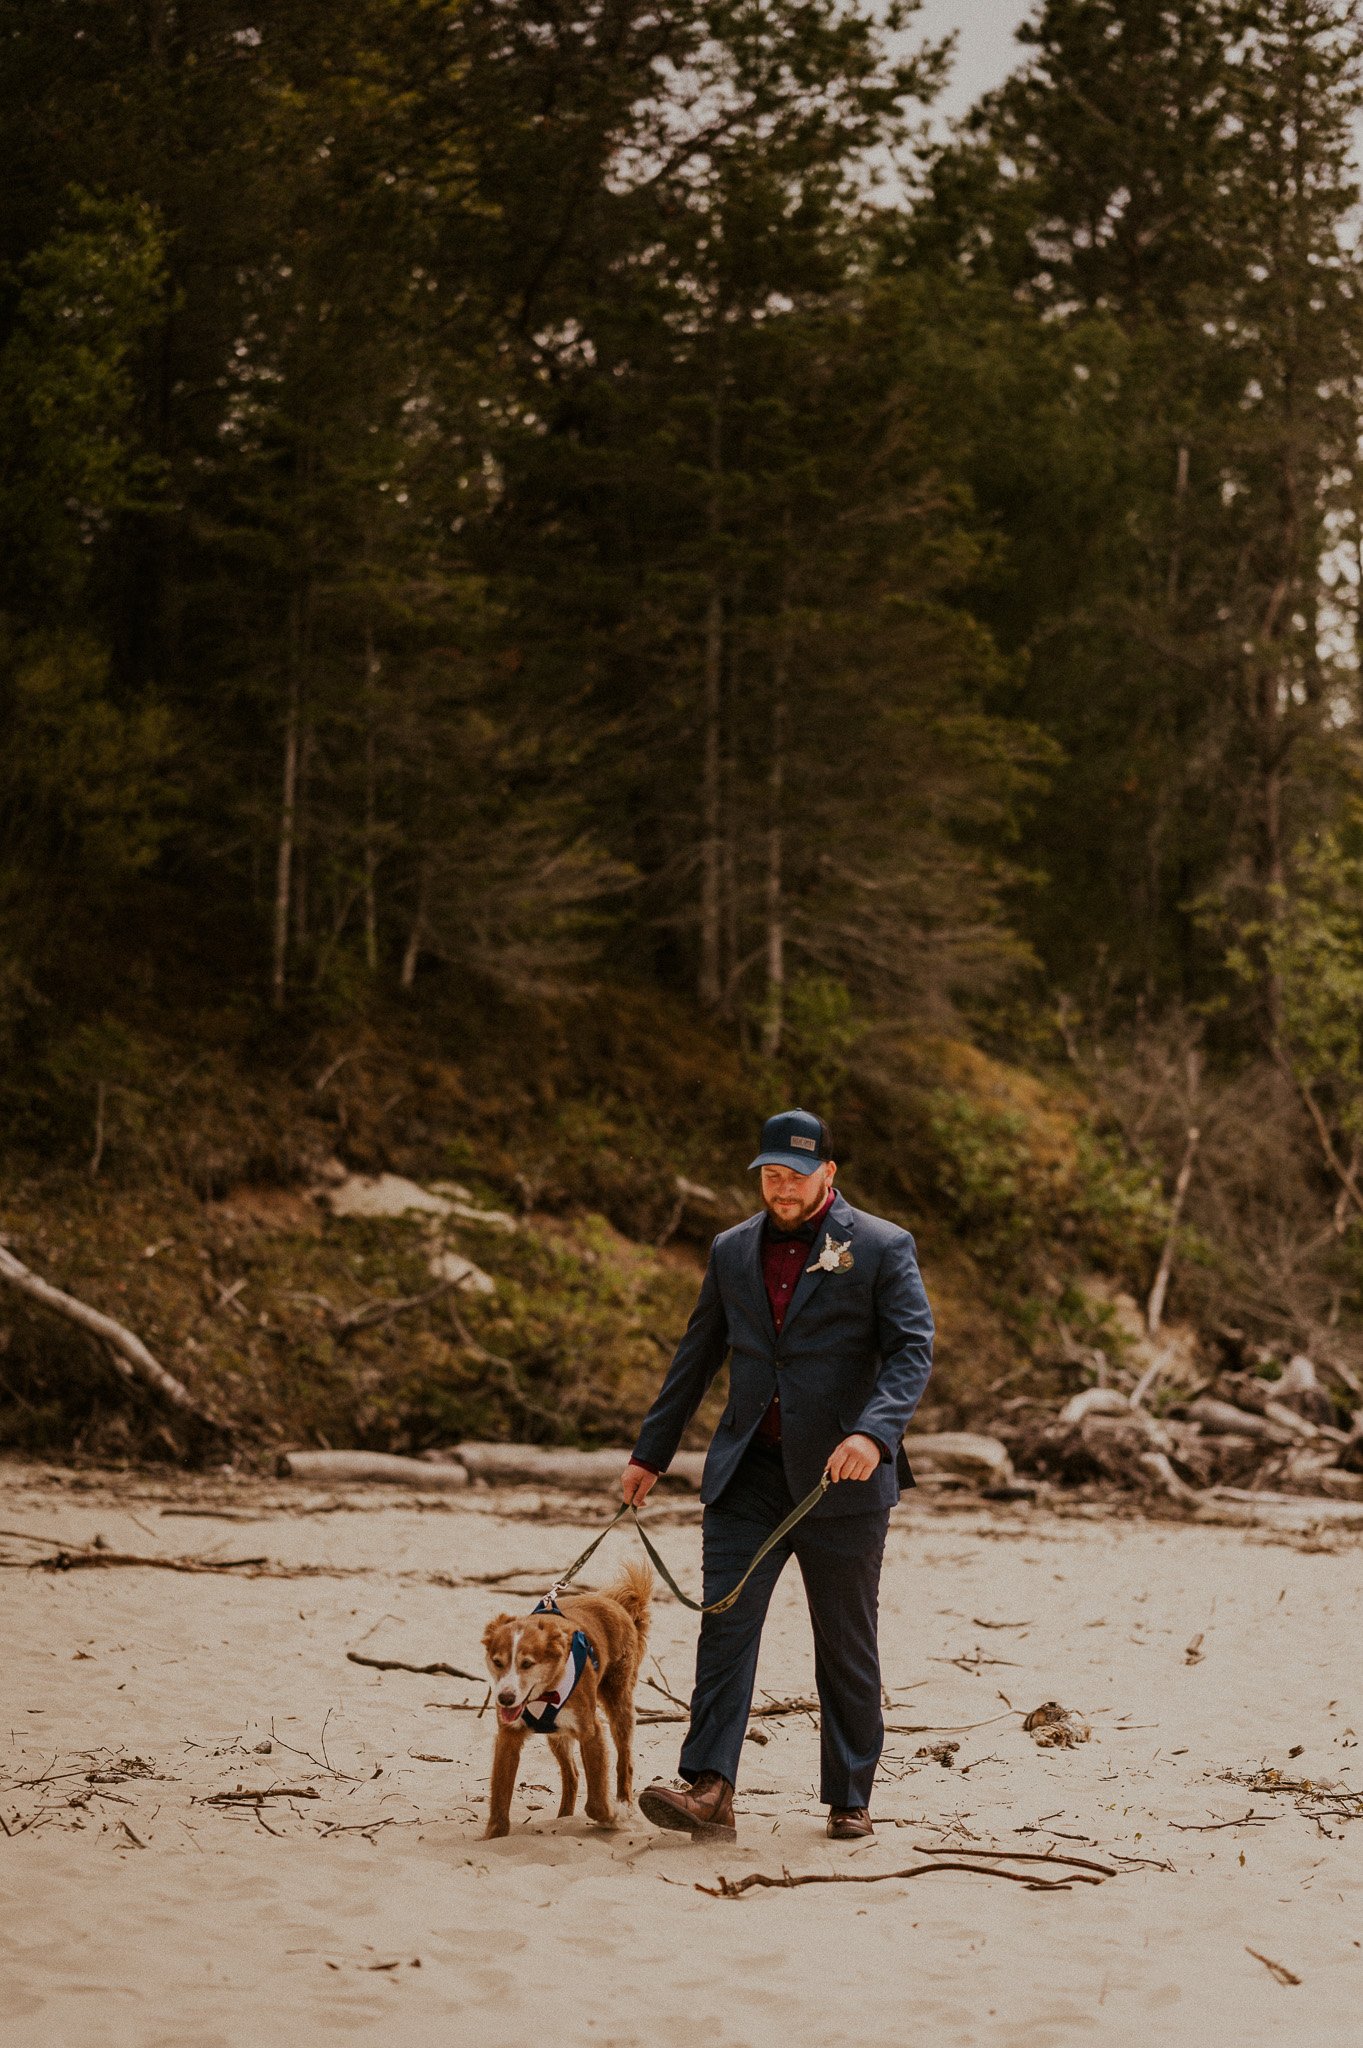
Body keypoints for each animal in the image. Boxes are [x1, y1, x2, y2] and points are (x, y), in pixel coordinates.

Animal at [476, 1548, 646, 1843]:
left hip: (619, 1704)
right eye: (497, 1662)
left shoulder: (591, 1731)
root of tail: (614, 1602)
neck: (544, 1693)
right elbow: (499, 1799)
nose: (505, 1699)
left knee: (624, 1762)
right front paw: (493, 1836)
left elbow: (596, 1802)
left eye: (527, 1664)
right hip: (556, 1734)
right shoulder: (508, 1737)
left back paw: (624, 1802)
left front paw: (613, 1818)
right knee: (573, 1774)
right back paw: (563, 1818)